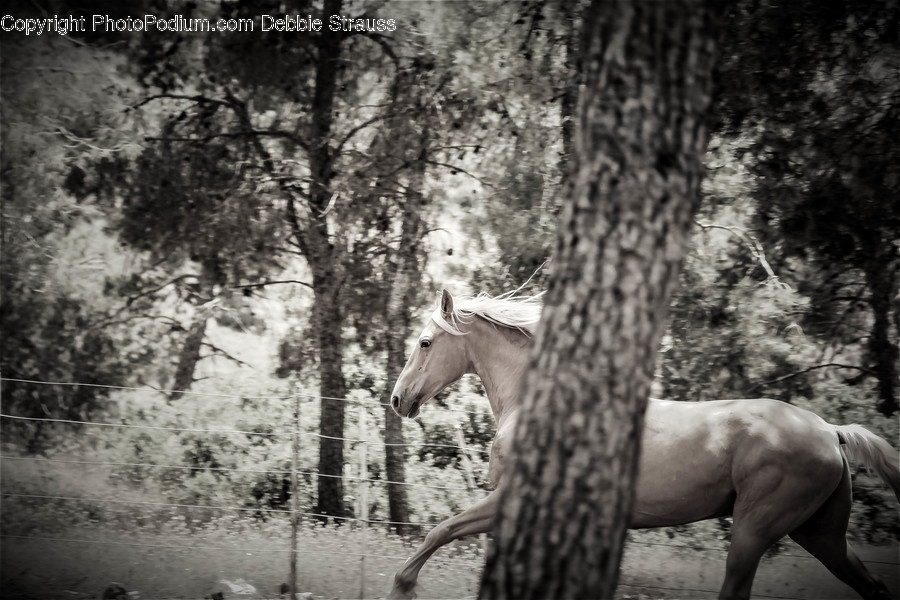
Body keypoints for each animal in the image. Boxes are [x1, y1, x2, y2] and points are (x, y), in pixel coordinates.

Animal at [387, 289, 900, 600]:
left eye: (425, 342)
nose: (397, 399)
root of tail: (830, 431)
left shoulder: (510, 500)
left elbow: (440, 530)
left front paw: (402, 586)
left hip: (756, 529)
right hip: (820, 533)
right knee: (872, 585)